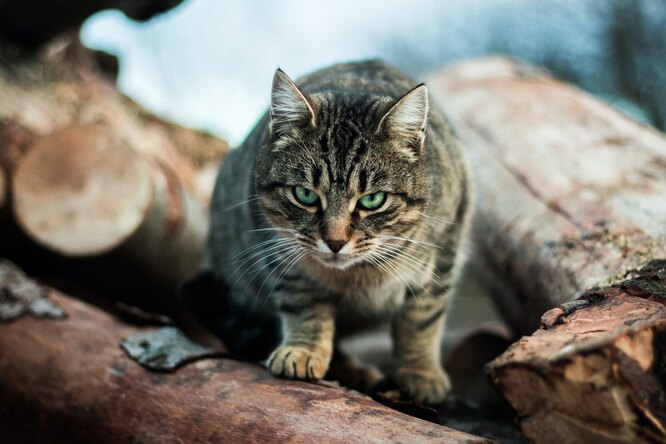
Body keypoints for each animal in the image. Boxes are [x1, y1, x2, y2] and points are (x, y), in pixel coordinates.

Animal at [184, 59, 470, 406]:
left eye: (372, 200)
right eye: (305, 195)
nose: (335, 242)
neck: (357, 276)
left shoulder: (445, 250)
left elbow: (422, 318)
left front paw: (420, 372)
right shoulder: (279, 251)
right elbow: (305, 305)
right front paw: (304, 351)